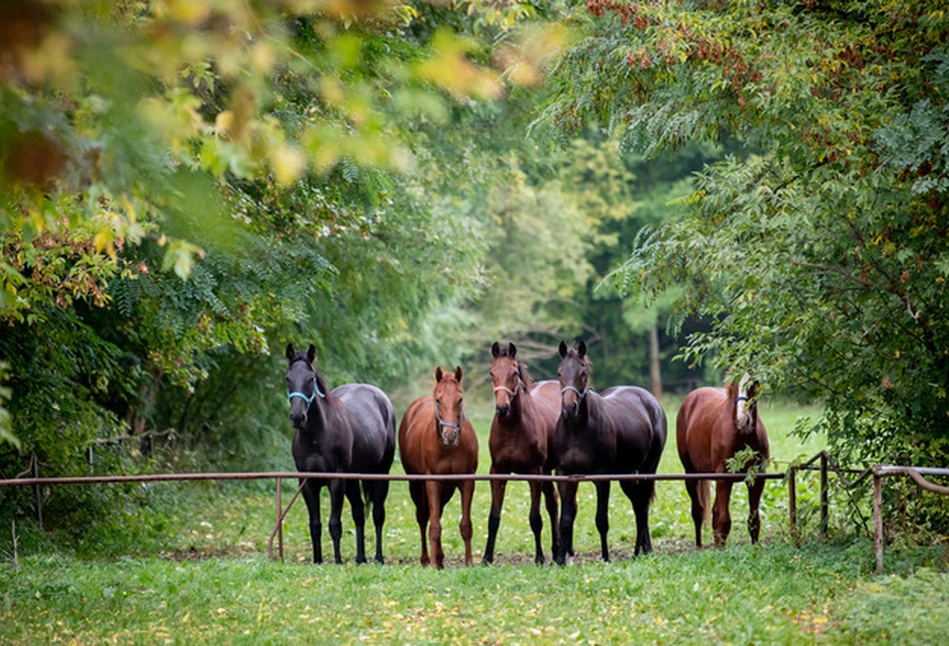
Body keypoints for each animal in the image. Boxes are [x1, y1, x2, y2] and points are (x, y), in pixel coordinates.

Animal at [286, 344, 396, 568]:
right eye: (287, 378)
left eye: (310, 378)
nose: (298, 417)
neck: (316, 437)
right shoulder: (307, 483)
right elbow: (315, 525)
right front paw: (317, 561)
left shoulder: (336, 481)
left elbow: (334, 524)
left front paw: (337, 561)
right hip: (352, 481)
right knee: (359, 513)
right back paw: (360, 558)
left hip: (381, 474)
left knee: (377, 514)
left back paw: (378, 557)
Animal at [396, 368, 478, 568]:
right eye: (439, 399)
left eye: (460, 399)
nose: (450, 435)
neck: (449, 449)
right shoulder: (432, 483)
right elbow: (433, 526)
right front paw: (432, 564)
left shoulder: (466, 482)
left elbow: (465, 525)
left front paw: (469, 563)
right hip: (416, 486)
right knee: (423, 516)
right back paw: (427, 559)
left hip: (446, 488)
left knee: (437, 513)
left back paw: (440, 558)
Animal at [482, 344, 564, 568]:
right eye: (492, 372)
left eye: (514, 373)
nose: (502, 408)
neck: (513, 429)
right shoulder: (498, 472)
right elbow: (493, 518)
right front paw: (486, 558)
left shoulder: (534, 473)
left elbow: (535, 518)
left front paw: (539, 558)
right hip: (546, 471)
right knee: (553, 502)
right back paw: (556, 551)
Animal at [552, 342, 664, 564]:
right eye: (560, 372)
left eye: (583, 373)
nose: (569, 407)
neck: (577, 431)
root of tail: (650, 399)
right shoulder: (566, 477)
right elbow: (565, 520)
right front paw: (560, 561)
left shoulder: (602, 478)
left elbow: (601, 520)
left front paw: (605, 557)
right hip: (626, 474)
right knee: (638, 504)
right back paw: (638, 551)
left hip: (648, 469)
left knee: (643, 505)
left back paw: (646, 549)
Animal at [672, 374, 772, 552]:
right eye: (734, 382)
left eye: (755, 382)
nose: (743, 420)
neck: (742, 436)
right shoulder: (724, 478)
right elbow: (724, 520)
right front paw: (721, 550)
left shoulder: (757, 479)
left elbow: (753, 520)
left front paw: (755, 547)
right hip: (691, 474)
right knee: (698, 511)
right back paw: (699, 546)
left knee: (714, 512)